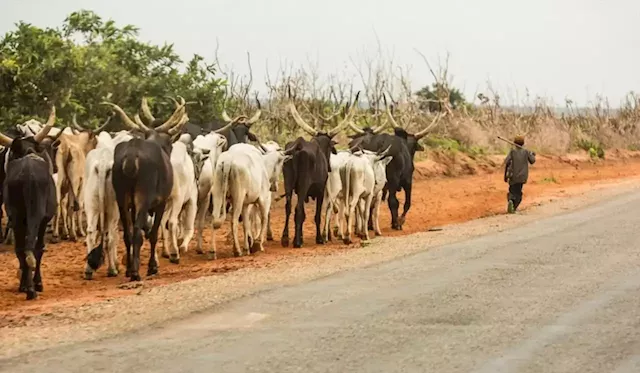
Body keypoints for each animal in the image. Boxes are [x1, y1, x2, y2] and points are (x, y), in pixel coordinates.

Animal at [0, 105, 57, 300]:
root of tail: (28, 171)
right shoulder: (45, 219)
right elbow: (39, 248)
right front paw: (37, 283)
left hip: (17, 217)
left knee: (21, 249)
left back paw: (26, 285)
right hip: (33, 216)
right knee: (31, 247)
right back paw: (31, 288)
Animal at [82, 129, 134, 278]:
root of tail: (103, 163)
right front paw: (116, 263)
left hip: (92, 206)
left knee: (91, 232)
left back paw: (88, 270)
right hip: (113, 209)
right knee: (110, 236)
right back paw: (112, 270)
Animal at [280, 91, 360, 247]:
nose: (328, 167)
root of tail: (298, 145)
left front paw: (301, 237)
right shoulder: (320, 191)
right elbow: (317, 214)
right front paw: (319, 238)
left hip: (288, 183)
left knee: (288, 207)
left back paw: (285, 239)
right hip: (304, 185)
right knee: (298, 209)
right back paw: (297, 242)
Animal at [344, 93, 444, 230]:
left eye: (413, 147)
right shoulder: (408, 181)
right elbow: (406, 203)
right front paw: (399, 221)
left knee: (369, 201)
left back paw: (368, 225)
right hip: (392, 179)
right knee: (392, 201)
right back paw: (395, 224)